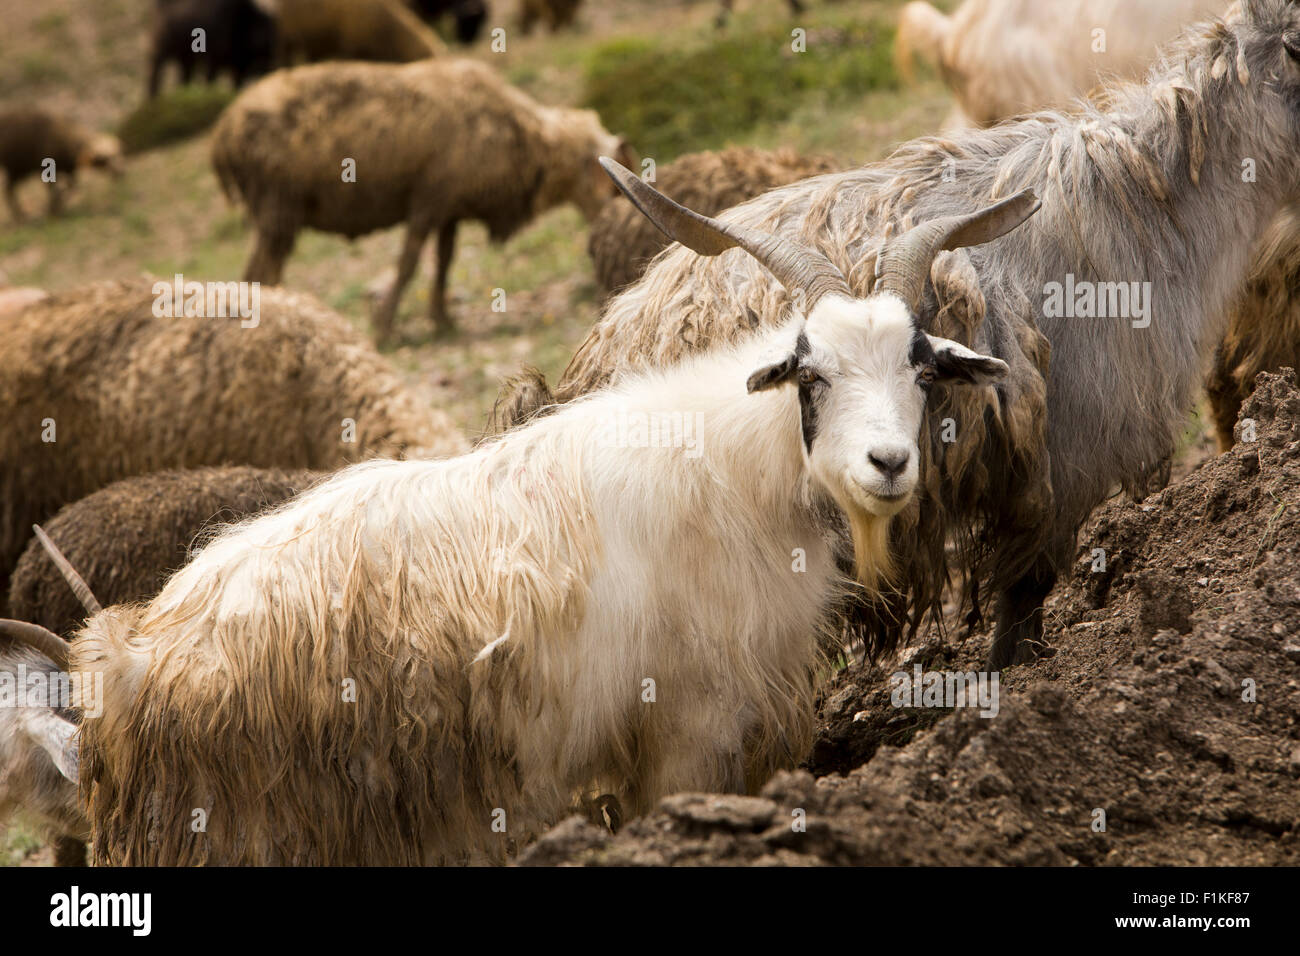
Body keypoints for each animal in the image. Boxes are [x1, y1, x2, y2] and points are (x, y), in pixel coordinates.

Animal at [213, 56, 634, 343]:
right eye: (610, 187)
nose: (609, 232)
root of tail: (223, 135)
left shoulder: (450, 210)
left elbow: (444, 263)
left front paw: (441, 320)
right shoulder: (428, 200)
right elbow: (408, 264)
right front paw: (384, 327)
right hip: (277, 207)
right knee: (258, 274)